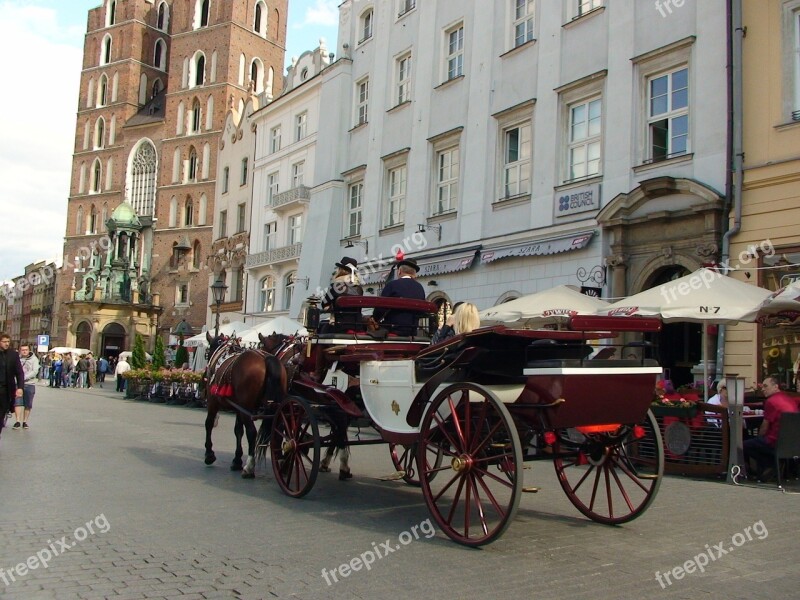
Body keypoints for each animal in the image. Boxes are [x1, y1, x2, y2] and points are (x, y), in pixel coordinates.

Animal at [205, 332, 286, 478]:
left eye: (207, 351)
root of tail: (266, 359)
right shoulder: (239, 408)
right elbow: (238, 430)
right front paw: (237, 460)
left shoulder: (213, 401)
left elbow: (209, 423)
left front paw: (209, 454)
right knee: (279, 431)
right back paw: (281, 461)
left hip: (246, 408)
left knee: (252, 432)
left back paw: (249, 466)